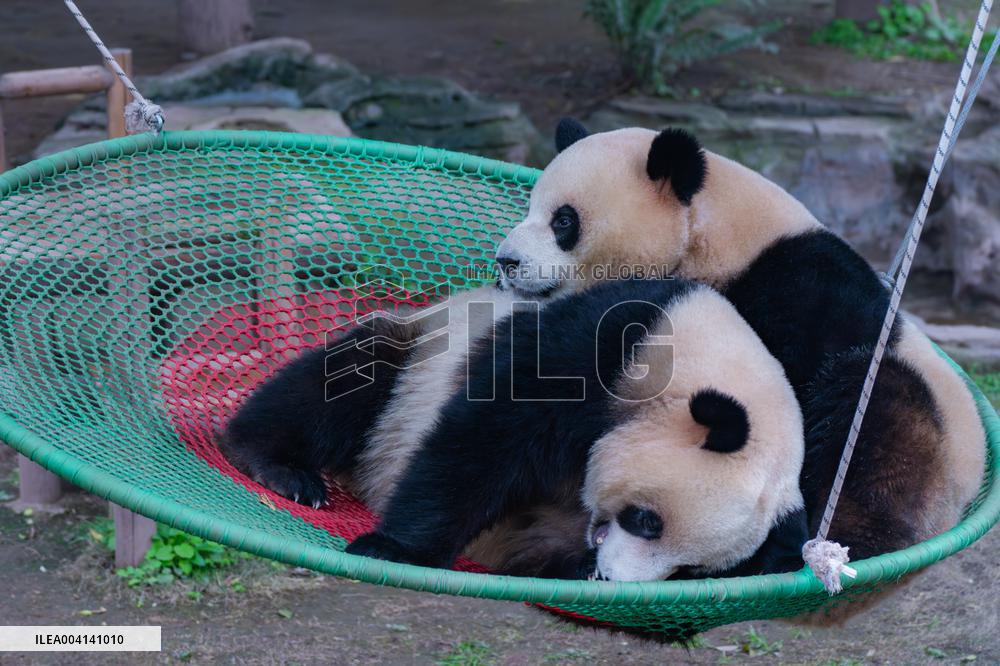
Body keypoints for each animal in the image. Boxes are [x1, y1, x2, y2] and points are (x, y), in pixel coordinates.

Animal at [222, 278, 807, 580]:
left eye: (691, 571)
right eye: (647, 521)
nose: (613, 577)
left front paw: (580, 568)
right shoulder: (611, 345)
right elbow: (486, 440)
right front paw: (395, 549)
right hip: (418, 355)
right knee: (350, 379)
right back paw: (276, 465)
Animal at [494, 119, 987, 566]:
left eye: (563, 220)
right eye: (530, 208)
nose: (505, 261)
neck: (712, 229)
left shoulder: (801, 288)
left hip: (925, 444)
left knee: (873, 422)